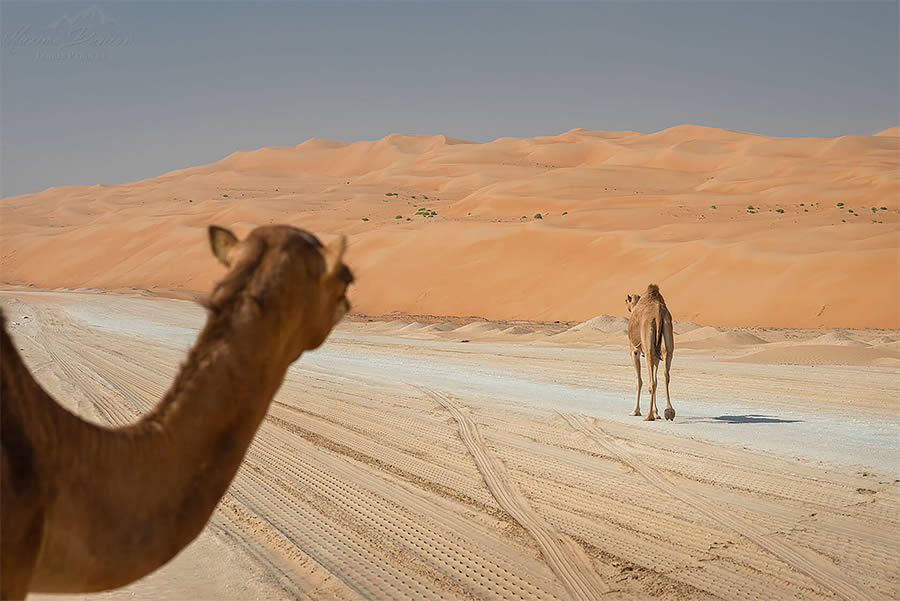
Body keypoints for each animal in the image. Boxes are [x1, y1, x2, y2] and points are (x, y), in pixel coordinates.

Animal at [624, 282, 676, 420]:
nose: (627, 306)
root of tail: (658, 312)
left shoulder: (634, 350)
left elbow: (639, 381)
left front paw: (635, 411)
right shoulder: (657, 355)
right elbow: (656, 380)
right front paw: (656, 412)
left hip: (647, 347)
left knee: (651, 382)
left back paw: (648, 416)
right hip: (667, 331)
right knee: (666, 374)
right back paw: (669, 411)